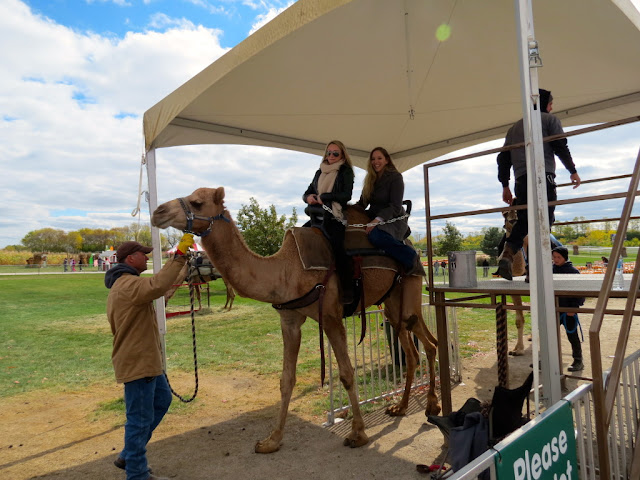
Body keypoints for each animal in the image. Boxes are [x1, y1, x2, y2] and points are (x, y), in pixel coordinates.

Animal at [151, 187, 440, 453]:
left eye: (197, 202)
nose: (158, 212)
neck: (286, 268)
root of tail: (412, 246)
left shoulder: (331, 316)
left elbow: (346, 374)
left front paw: (358, 434)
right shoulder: (289, 320)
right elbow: (286, 379)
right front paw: (271, 440)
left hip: (410, 289)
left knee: (428, 341)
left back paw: (432, 405)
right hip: (391, 302)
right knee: (411, 349)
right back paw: (400, 407)